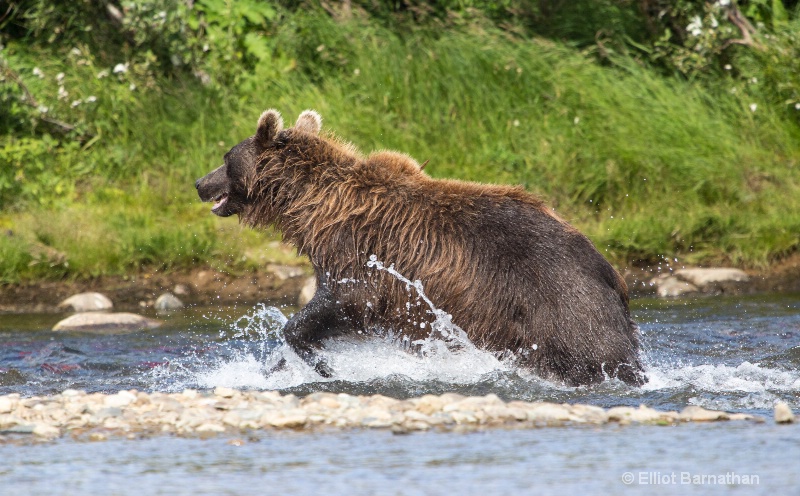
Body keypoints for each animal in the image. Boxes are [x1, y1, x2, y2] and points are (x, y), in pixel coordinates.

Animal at [197, 108, 648, 388]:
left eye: (226, 157)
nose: (200, 182)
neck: (313, 206)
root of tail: (609, 269)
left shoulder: (358, 256)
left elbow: (337, 304)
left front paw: (321, 363)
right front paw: (276, 368)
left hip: (560, 303)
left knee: (595, 354)